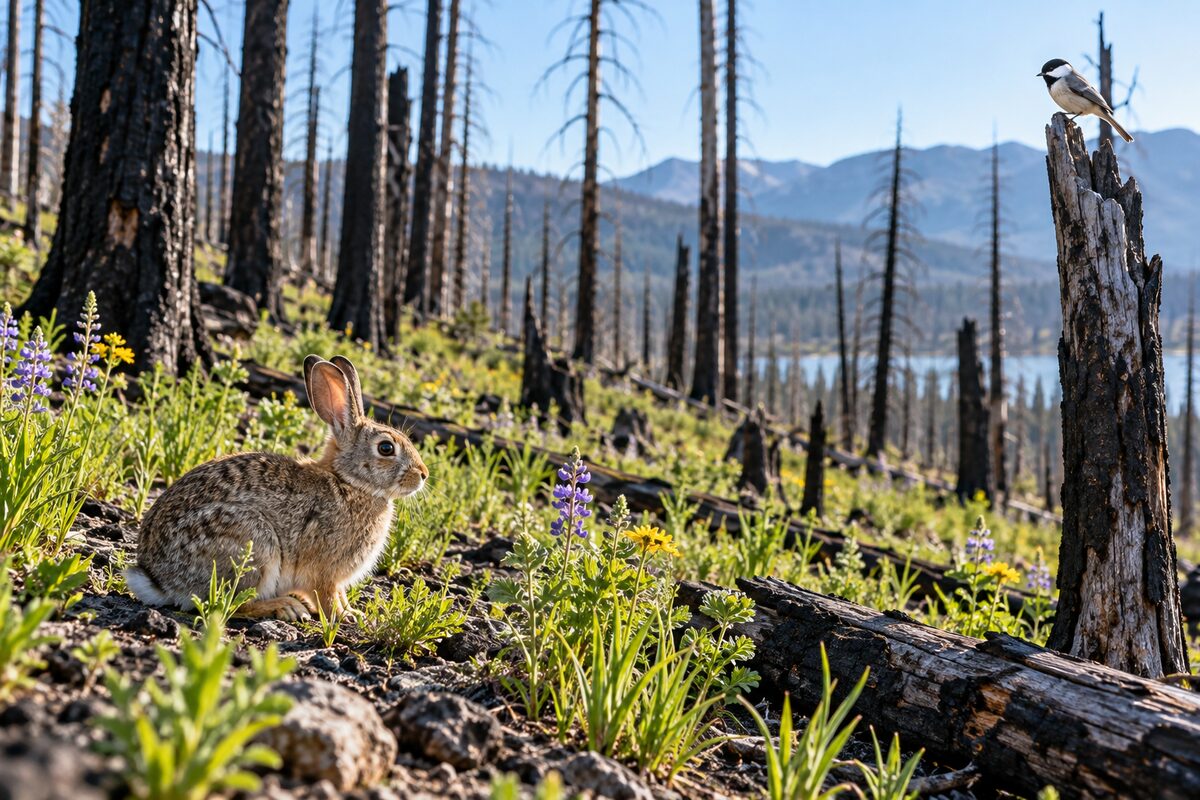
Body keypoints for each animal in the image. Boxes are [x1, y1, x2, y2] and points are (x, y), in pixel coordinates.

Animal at [125, 354, 428, 622]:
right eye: (386, 448)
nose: (423, 474)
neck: (349, 482)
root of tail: (159, 580)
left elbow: (339, 594)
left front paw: (354, 612)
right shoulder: (324, 572)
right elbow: (327, 597)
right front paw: (346, 617)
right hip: (253, 544)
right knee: (228, 604)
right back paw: (285, 607)